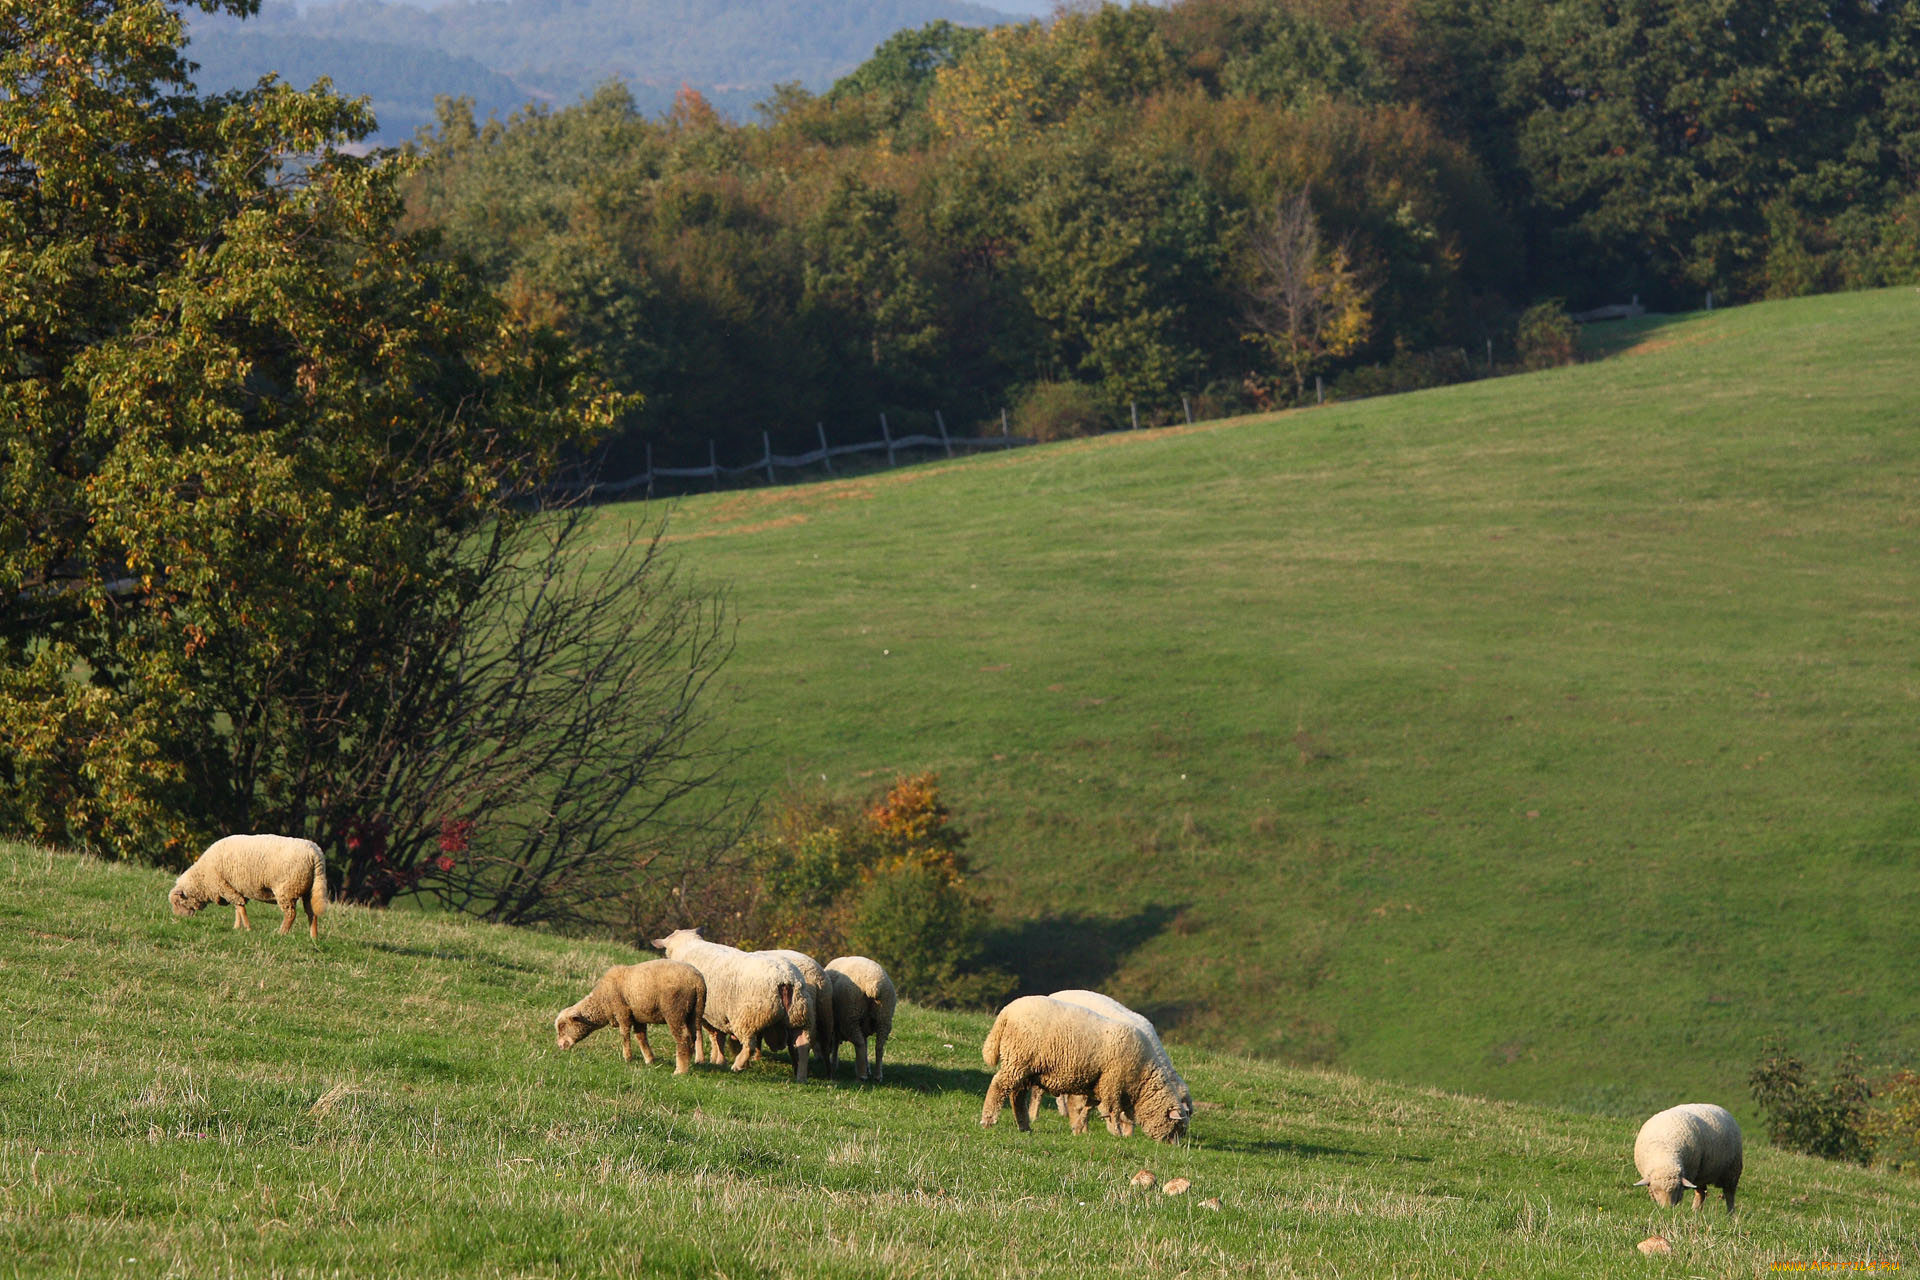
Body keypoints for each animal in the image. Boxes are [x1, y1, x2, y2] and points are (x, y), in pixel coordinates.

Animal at [170, 832, 328, 940]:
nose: (179, 920)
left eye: (177, 902)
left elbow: (240, 908)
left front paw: (247, 928)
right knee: (312, 912)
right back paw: (313, 937)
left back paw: (281, 933)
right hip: (310, 889)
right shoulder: (234, 888)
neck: (202, 878)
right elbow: (238, 909)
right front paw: (237, 927)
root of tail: (315, 854)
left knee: (291, 914)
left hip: (287, 889)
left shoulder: (225, 887)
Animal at [552, 959, 710, 1074]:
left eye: (563, 1026)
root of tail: (698, 982)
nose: (560, 1046)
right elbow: (641, 1037)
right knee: (693, 1037)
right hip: (695, 1012)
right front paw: (649, 1060)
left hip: (675, 1011)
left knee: (683, 1038)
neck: (602, 1001)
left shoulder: (622, 1012)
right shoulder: (638, 1016)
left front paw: (627, 1057)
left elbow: (624, 1034)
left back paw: (680, 1071)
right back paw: (688, 1064)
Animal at [652, 932, 817, 1082]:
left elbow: (703, 1035)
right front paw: (718, 1060)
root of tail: (786, 979)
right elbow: (718, 1037)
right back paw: (801, 1077)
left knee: (749, 1045)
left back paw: (737, 1065)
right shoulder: (717, 1015)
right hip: (799, 1016)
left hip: (748, 1018)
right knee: (803, 1047)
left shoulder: (703, 1014)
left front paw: (702, 1059)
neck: (688, 946)